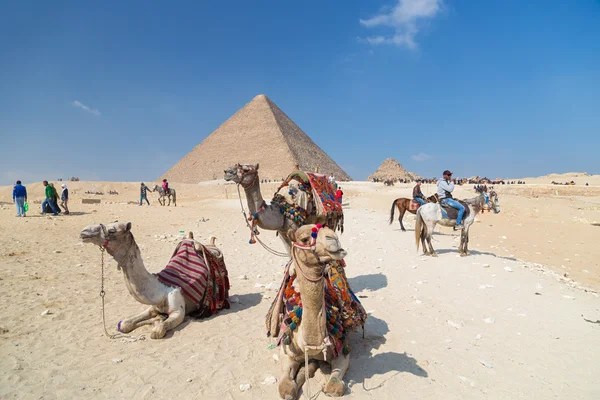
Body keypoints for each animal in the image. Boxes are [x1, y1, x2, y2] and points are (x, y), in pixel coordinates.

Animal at [78, 222, 229, 338]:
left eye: (112, 230)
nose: (84, 232)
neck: (161, 290)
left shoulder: (178, 311)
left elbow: (157, 331)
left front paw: (158, 321)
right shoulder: (153, 307)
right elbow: (124, 324)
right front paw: (155, 318)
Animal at [278, 223, 352, 398]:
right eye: (305, 239)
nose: (333, 238)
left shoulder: (342, 349)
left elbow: (335, 387)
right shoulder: (286, 350)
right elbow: (286, 389)